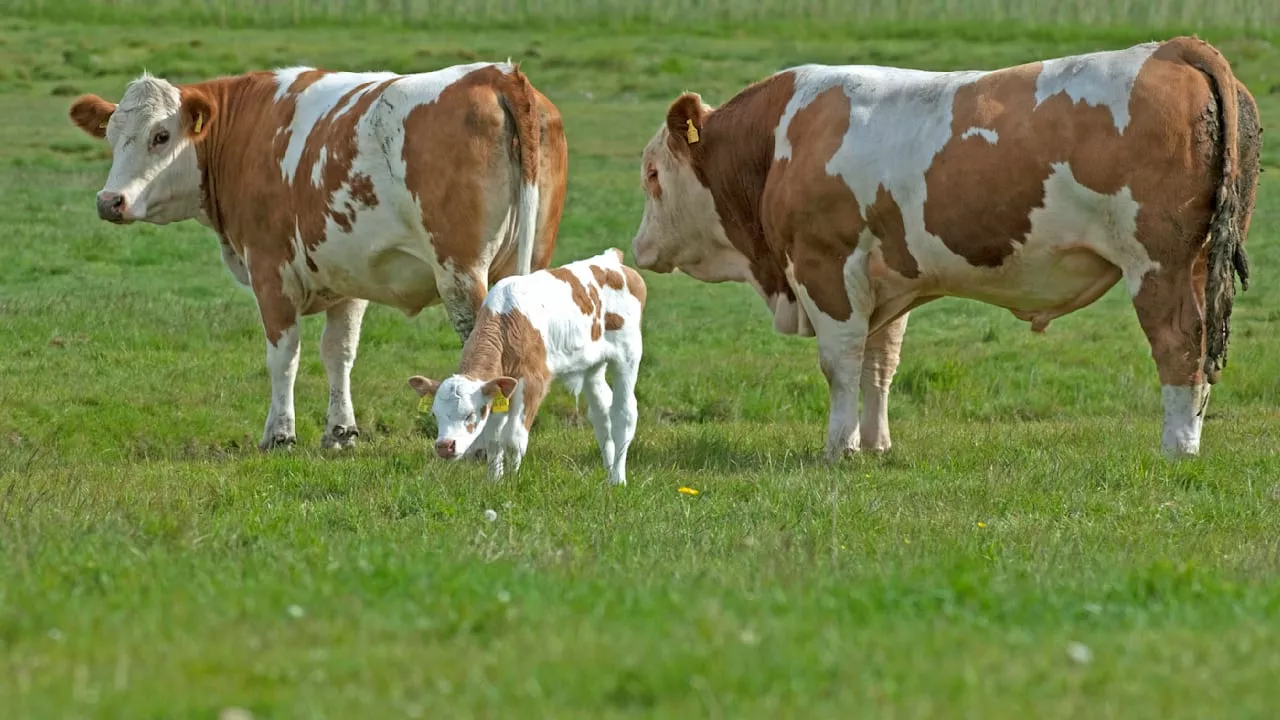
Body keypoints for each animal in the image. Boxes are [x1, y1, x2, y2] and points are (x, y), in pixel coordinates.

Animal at [70, 60, 568, 448]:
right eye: (111, 136)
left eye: (161, 135)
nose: (109, 201)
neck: (246, 132)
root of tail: (497, 73)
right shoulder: (347, 275)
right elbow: (339, 353)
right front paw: (341, 431)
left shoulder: (269, 270)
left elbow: (284, 356)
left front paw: (280, 434)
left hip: (461, 273)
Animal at [409, 245, 650, 481]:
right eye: (434, 414)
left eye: (470, 414)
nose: (444, 446)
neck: (506, 322)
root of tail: (611, 260)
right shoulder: (499, 386)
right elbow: (494, 439)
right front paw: (493, 482)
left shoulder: (533, 382)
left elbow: (513, 439)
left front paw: (512, 481)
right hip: (593, 365)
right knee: (602, 415)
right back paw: (609, 476)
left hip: (628, 354)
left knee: (624, 414)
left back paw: (619, 479)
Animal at [629, 36, 1259, 456]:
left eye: (653, 175)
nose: (638, 248)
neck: (781, 140)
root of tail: (1171, 48)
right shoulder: (885, 278)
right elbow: (879, 363)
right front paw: (875, 445)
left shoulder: (825, 265)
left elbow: (840, 362)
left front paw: (838, 449)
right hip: (1199, 261)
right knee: (1205, 348)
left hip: (1158, 264)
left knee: (1178, 343)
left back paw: (1177, 449)